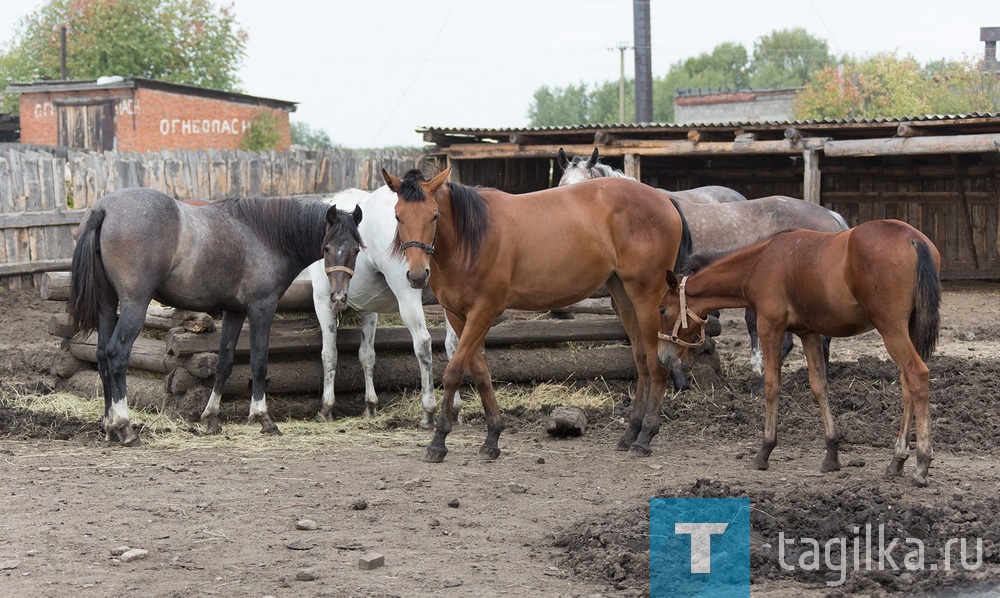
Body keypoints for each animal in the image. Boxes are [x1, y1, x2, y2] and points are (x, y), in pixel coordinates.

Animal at [67, 188, 364, 446]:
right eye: (327, 248)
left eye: (356, 250)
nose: (339, 298)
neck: (266, 236)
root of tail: (104, 208)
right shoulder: (262, 308)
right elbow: (259, 362)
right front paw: (263, 418)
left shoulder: (234, 312)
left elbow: (224, 363)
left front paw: (211, 419)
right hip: (134, 304)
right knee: (116, 354)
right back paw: (125, 427)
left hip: (107, 306)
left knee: (102, 356)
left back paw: (110, 428)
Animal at [382, 169, 688, 464]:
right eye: (397, 216)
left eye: (434, 215)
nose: (417, 275)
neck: (471, 238)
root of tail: (664, 199)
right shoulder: (458, 315)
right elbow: (480, 372)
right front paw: (492, 438)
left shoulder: (484, 311)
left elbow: (455, 371)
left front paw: (438, 442)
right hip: (624, 295)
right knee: (641, 361)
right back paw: (631, 433)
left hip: (647, 298)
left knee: (656, 364)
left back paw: (645, 437)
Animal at [656, 220, 936, 488]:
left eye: (661, 309)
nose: (664, 356)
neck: (758, 262)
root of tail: (914, 239)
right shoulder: (809, 333)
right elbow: (819, 386)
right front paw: (831, 455)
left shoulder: (770, 326)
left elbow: (772, 385)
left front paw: (764, 451)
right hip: (907, 328)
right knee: (906, 384)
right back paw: (897, 460)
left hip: (891, 327)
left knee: (917, 375)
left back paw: (922, 464)